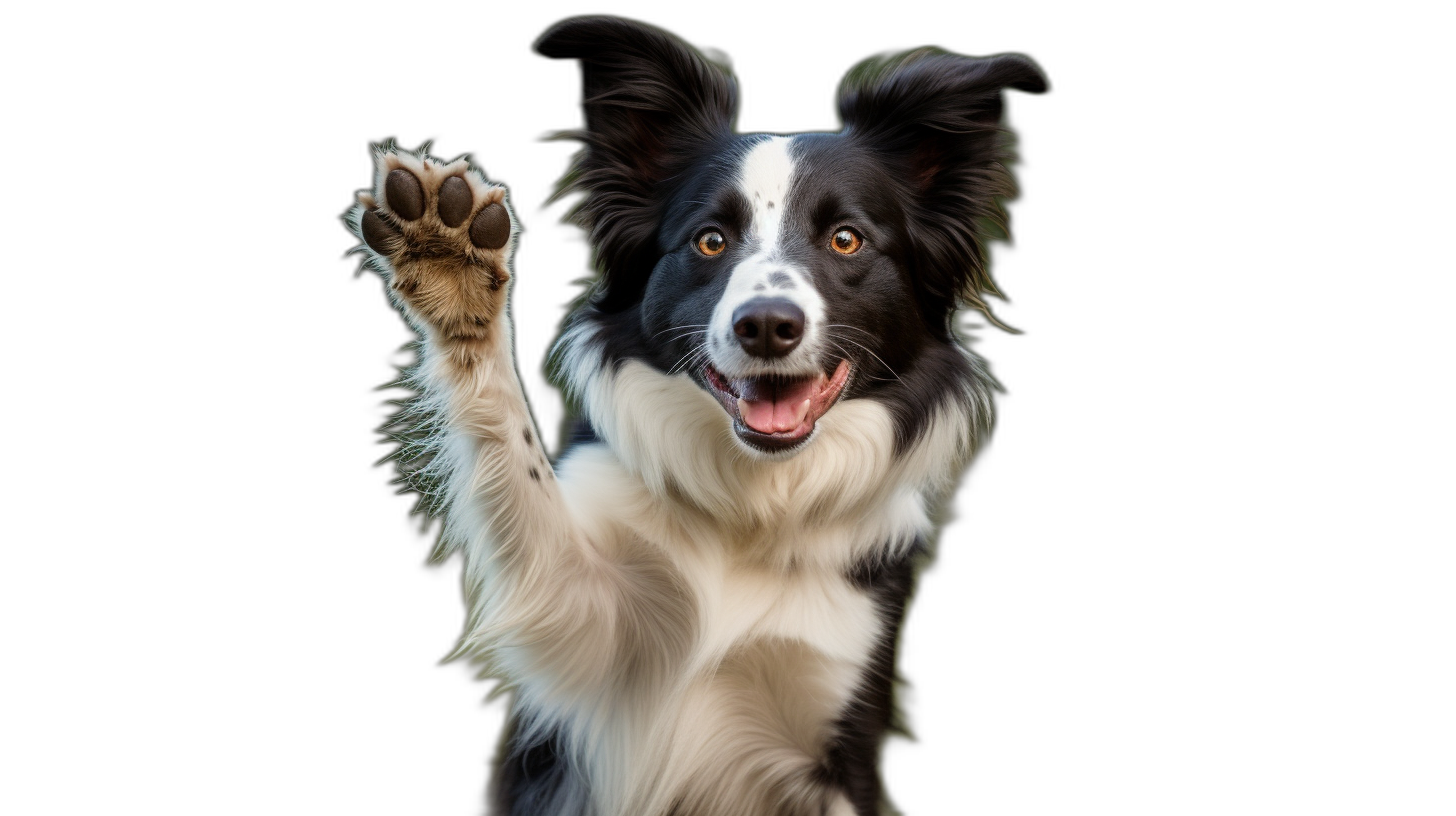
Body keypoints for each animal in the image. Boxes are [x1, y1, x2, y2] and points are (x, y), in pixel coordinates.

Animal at [349, 14, 1048, 816]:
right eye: (710, 240)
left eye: (846, 239)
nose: (767, 325)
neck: (754, 501)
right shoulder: (587, 640)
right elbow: (519, 470)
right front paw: (451, 269)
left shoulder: (839, 731)